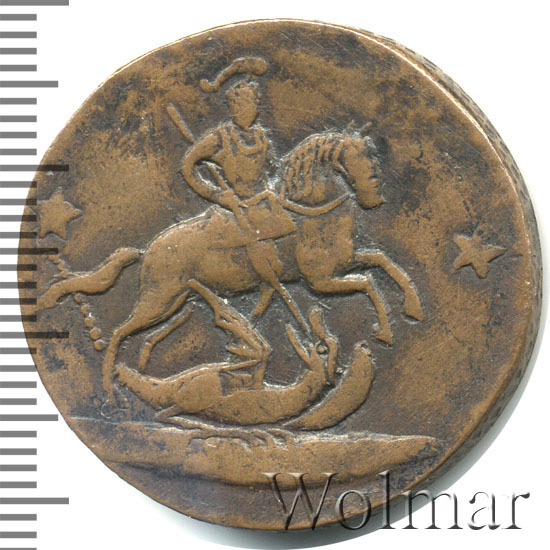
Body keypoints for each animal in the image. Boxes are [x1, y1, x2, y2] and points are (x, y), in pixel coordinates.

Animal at [37, 130, 423, 402]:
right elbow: (368, 282)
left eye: (374, 162)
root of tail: (149, 249)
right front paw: (385, 331)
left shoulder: (337, 265)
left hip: (179, 303)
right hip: (158, 299)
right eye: (360, 162)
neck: (309, 215)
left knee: (146, 338)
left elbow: (382, 262)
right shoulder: (320, 280)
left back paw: (144, 375)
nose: (375, 200)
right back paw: (110, 391)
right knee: (119, 333)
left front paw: (413, 307)